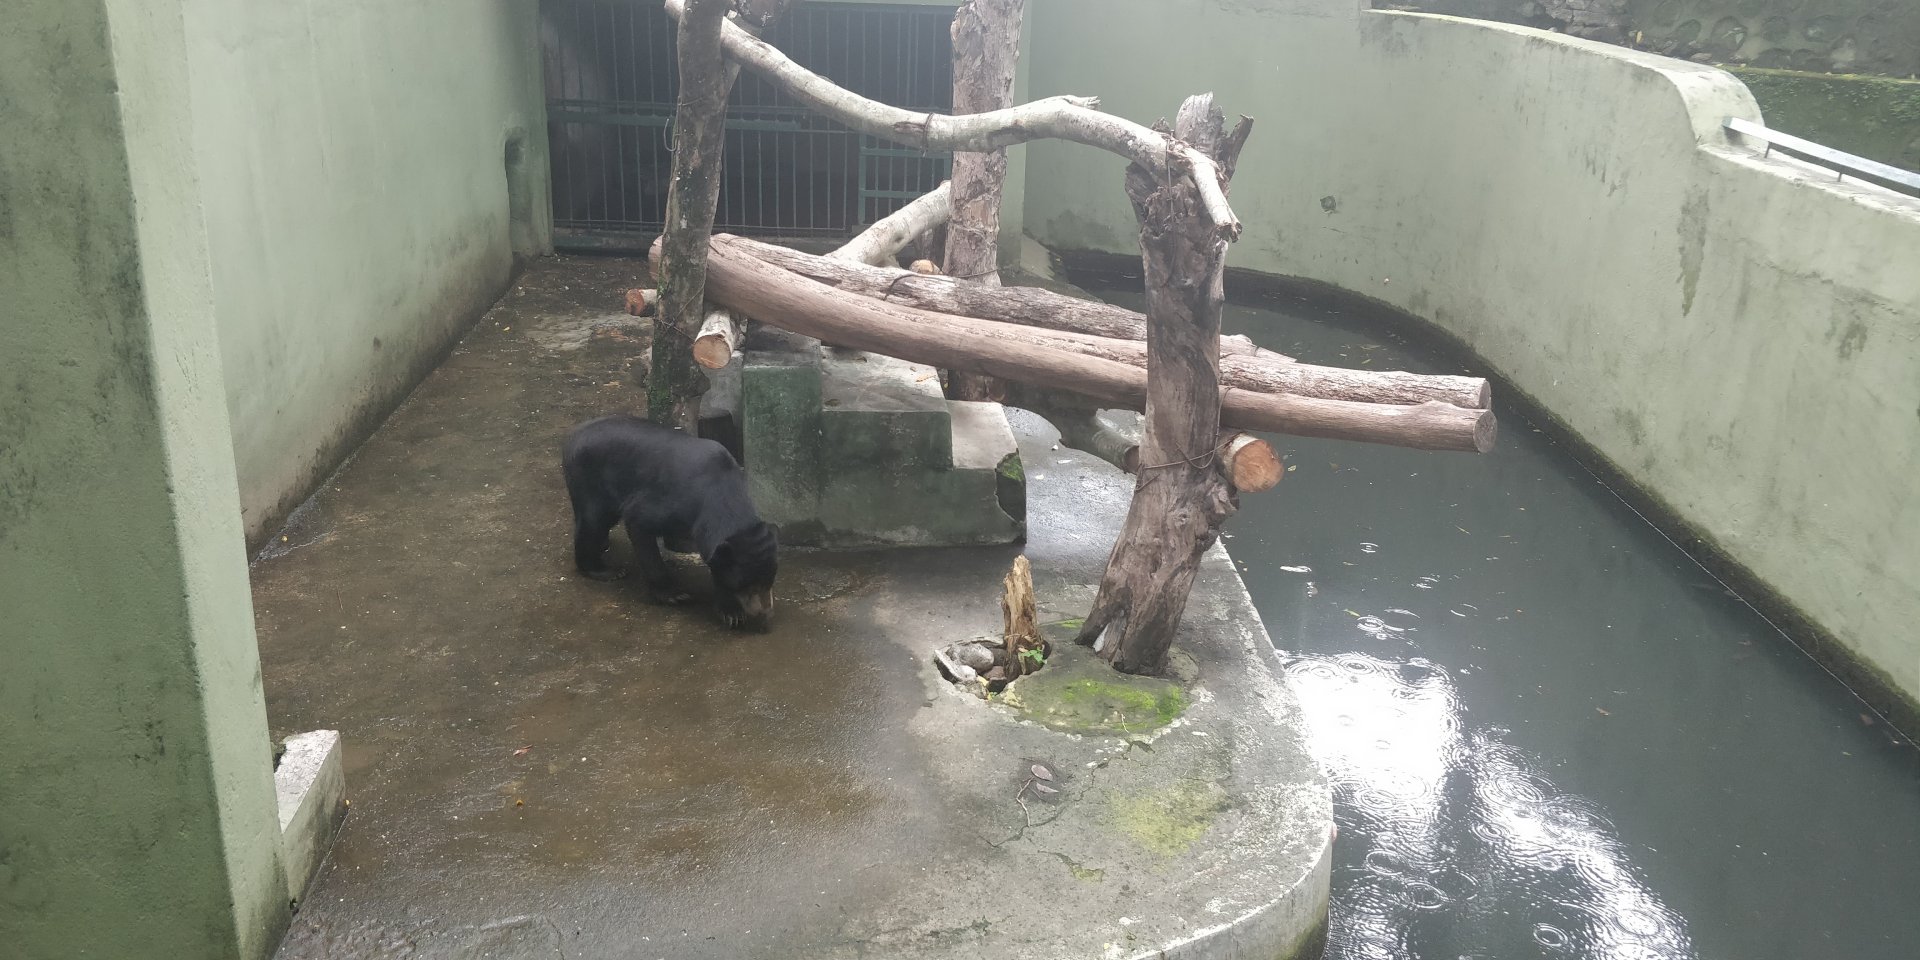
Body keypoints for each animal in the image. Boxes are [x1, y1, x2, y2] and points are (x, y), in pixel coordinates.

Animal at [561, 415, 778, 630]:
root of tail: (573, 435)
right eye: (748, 585)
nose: (764, 615)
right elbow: (638, 523)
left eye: (769, 582)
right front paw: (674, 595)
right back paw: (605, 570)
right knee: (592, 522)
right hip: (588, 476)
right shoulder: (672, 502)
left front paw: (731, 612)